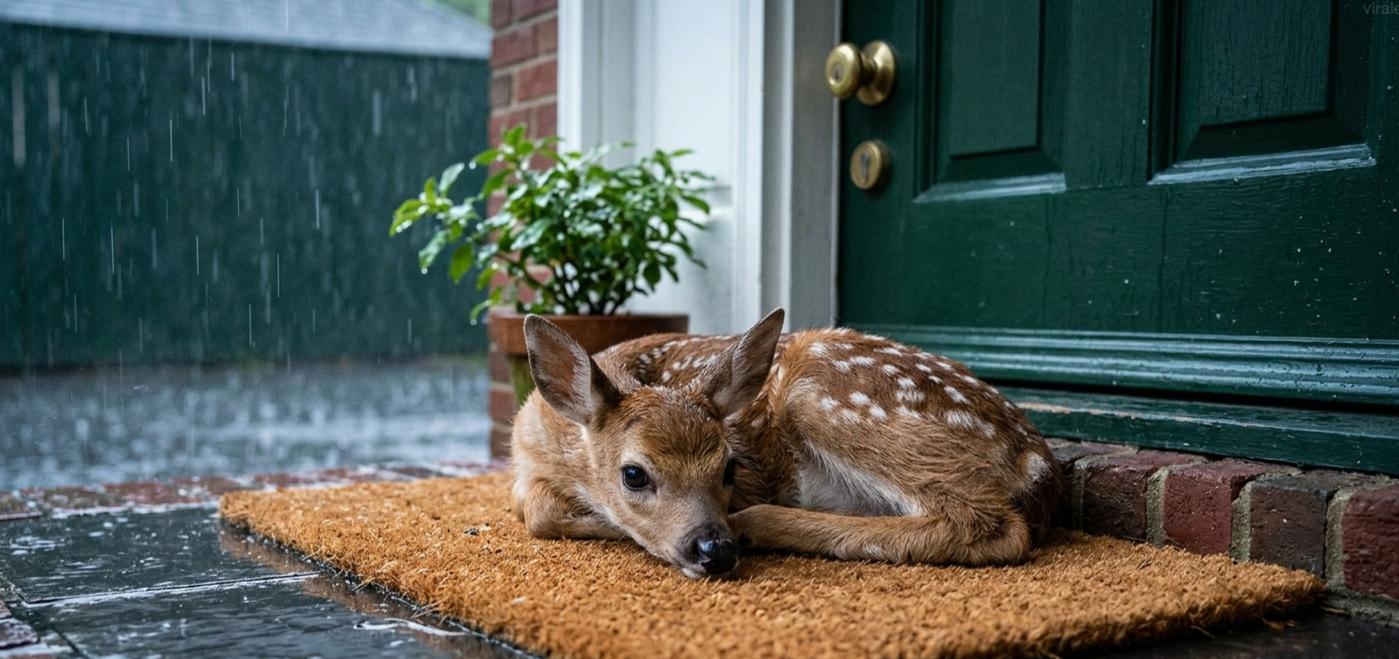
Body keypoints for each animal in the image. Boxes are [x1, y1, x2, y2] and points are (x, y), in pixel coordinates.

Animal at [509, 309, 1061, 579]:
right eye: (634, 474)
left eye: (729, 468)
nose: (715, 549)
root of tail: (1037, 462)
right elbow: (528, 505)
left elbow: (540, 514)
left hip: (821, 390)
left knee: (990, 523)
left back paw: (758, 524)